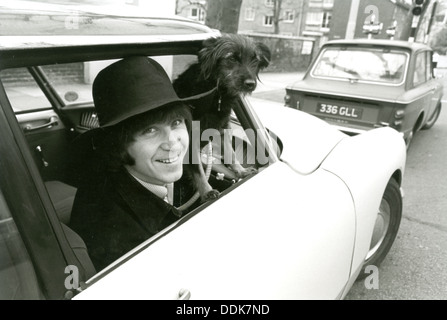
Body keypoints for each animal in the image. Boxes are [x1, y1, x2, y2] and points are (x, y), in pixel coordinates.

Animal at [174, 33, 272, 202]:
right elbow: (197, 169)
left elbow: (230, 153)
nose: (251, 84)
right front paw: (206, 191)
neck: (217, 92)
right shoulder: (190, 137)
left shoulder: (223, 126)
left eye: (255, 60)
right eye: (231, 58)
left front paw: (241, 171)